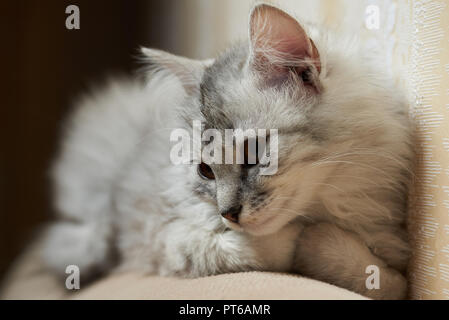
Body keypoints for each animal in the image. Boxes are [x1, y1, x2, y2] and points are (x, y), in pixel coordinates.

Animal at [42, 3, 412, 300]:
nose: (228, 213)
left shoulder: (395, 264)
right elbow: (242, 250)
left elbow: (381, 278)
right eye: (205, 171)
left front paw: (321, 243)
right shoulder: (163, 239)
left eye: (253, 154)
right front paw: (300, 241)